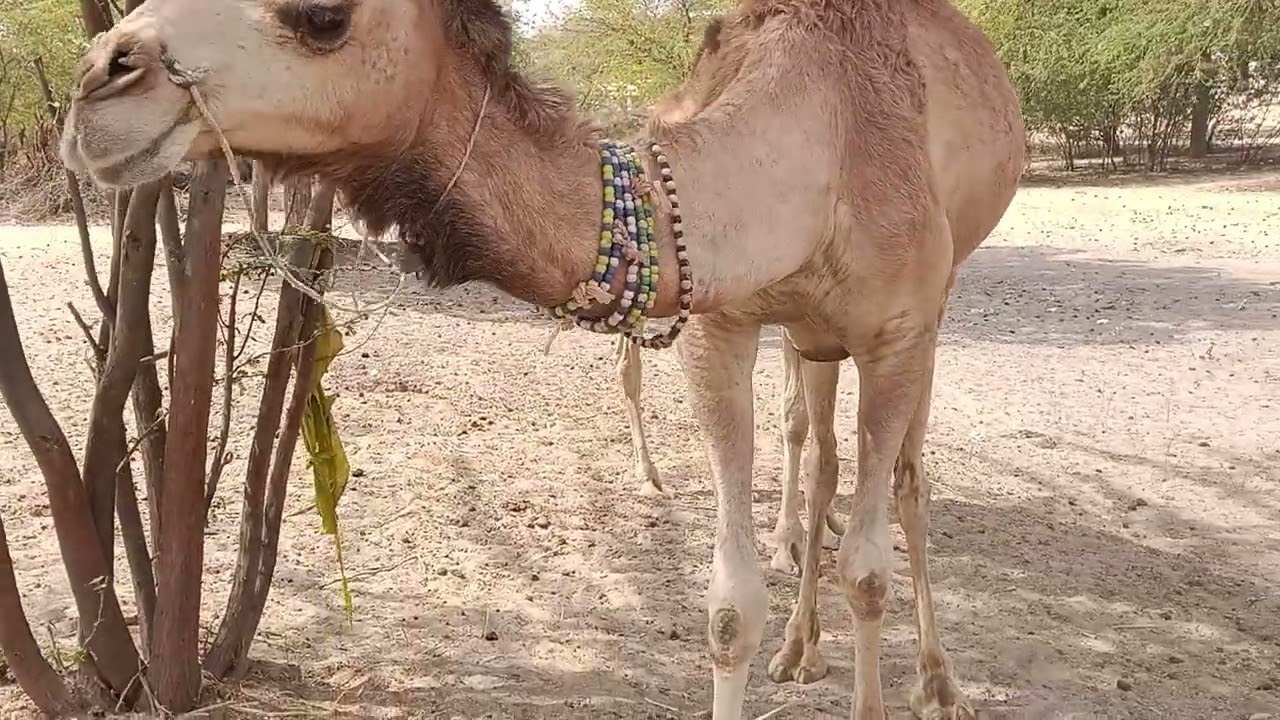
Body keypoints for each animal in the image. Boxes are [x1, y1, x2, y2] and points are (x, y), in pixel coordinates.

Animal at [58, 0, 1025, 716]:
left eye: (324, 16)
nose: (99, 74)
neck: (813, 157)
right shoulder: (722, 324)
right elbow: (727, 610)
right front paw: (768, 628)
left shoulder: (898, 329)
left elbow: (869, 572)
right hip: (812, 337)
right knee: (819, 451)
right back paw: (800, 648)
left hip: (934, 304)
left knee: (902, 479)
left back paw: (937, 680)